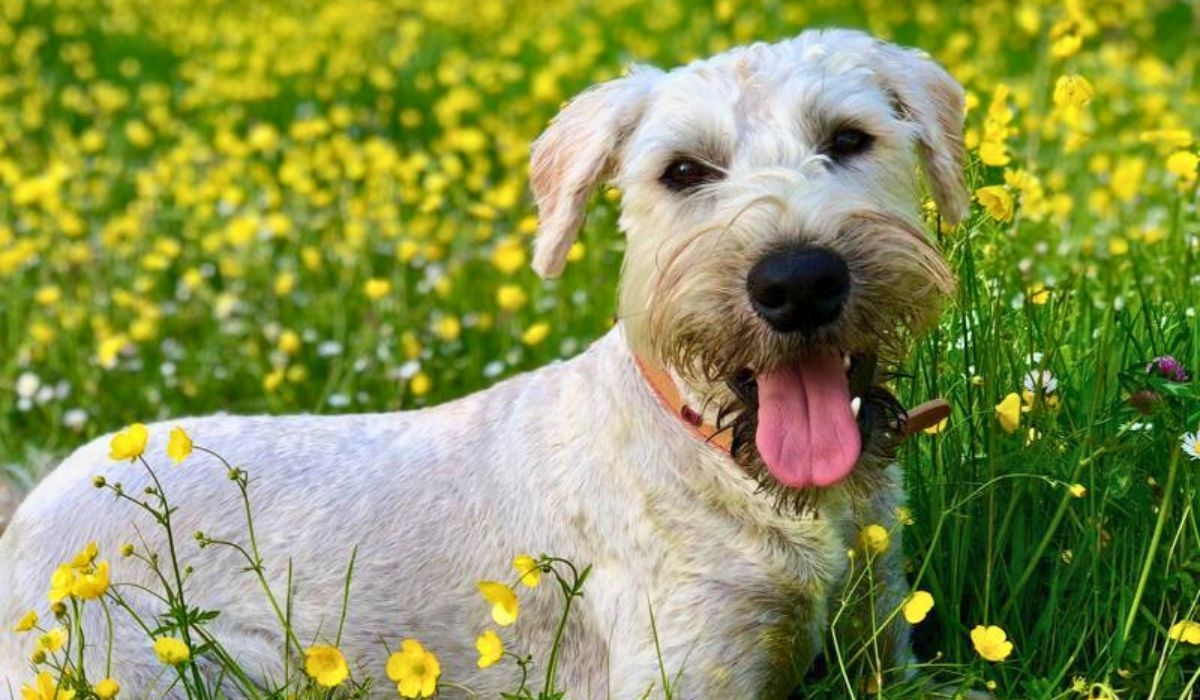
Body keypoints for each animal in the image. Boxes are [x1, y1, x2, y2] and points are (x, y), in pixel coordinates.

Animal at [0, 28, 964, 700]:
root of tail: (28, 508)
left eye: (848, 139)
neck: (722, 459)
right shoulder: (686, 665)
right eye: (684, 171)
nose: (797, 283)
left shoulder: (886, 637)